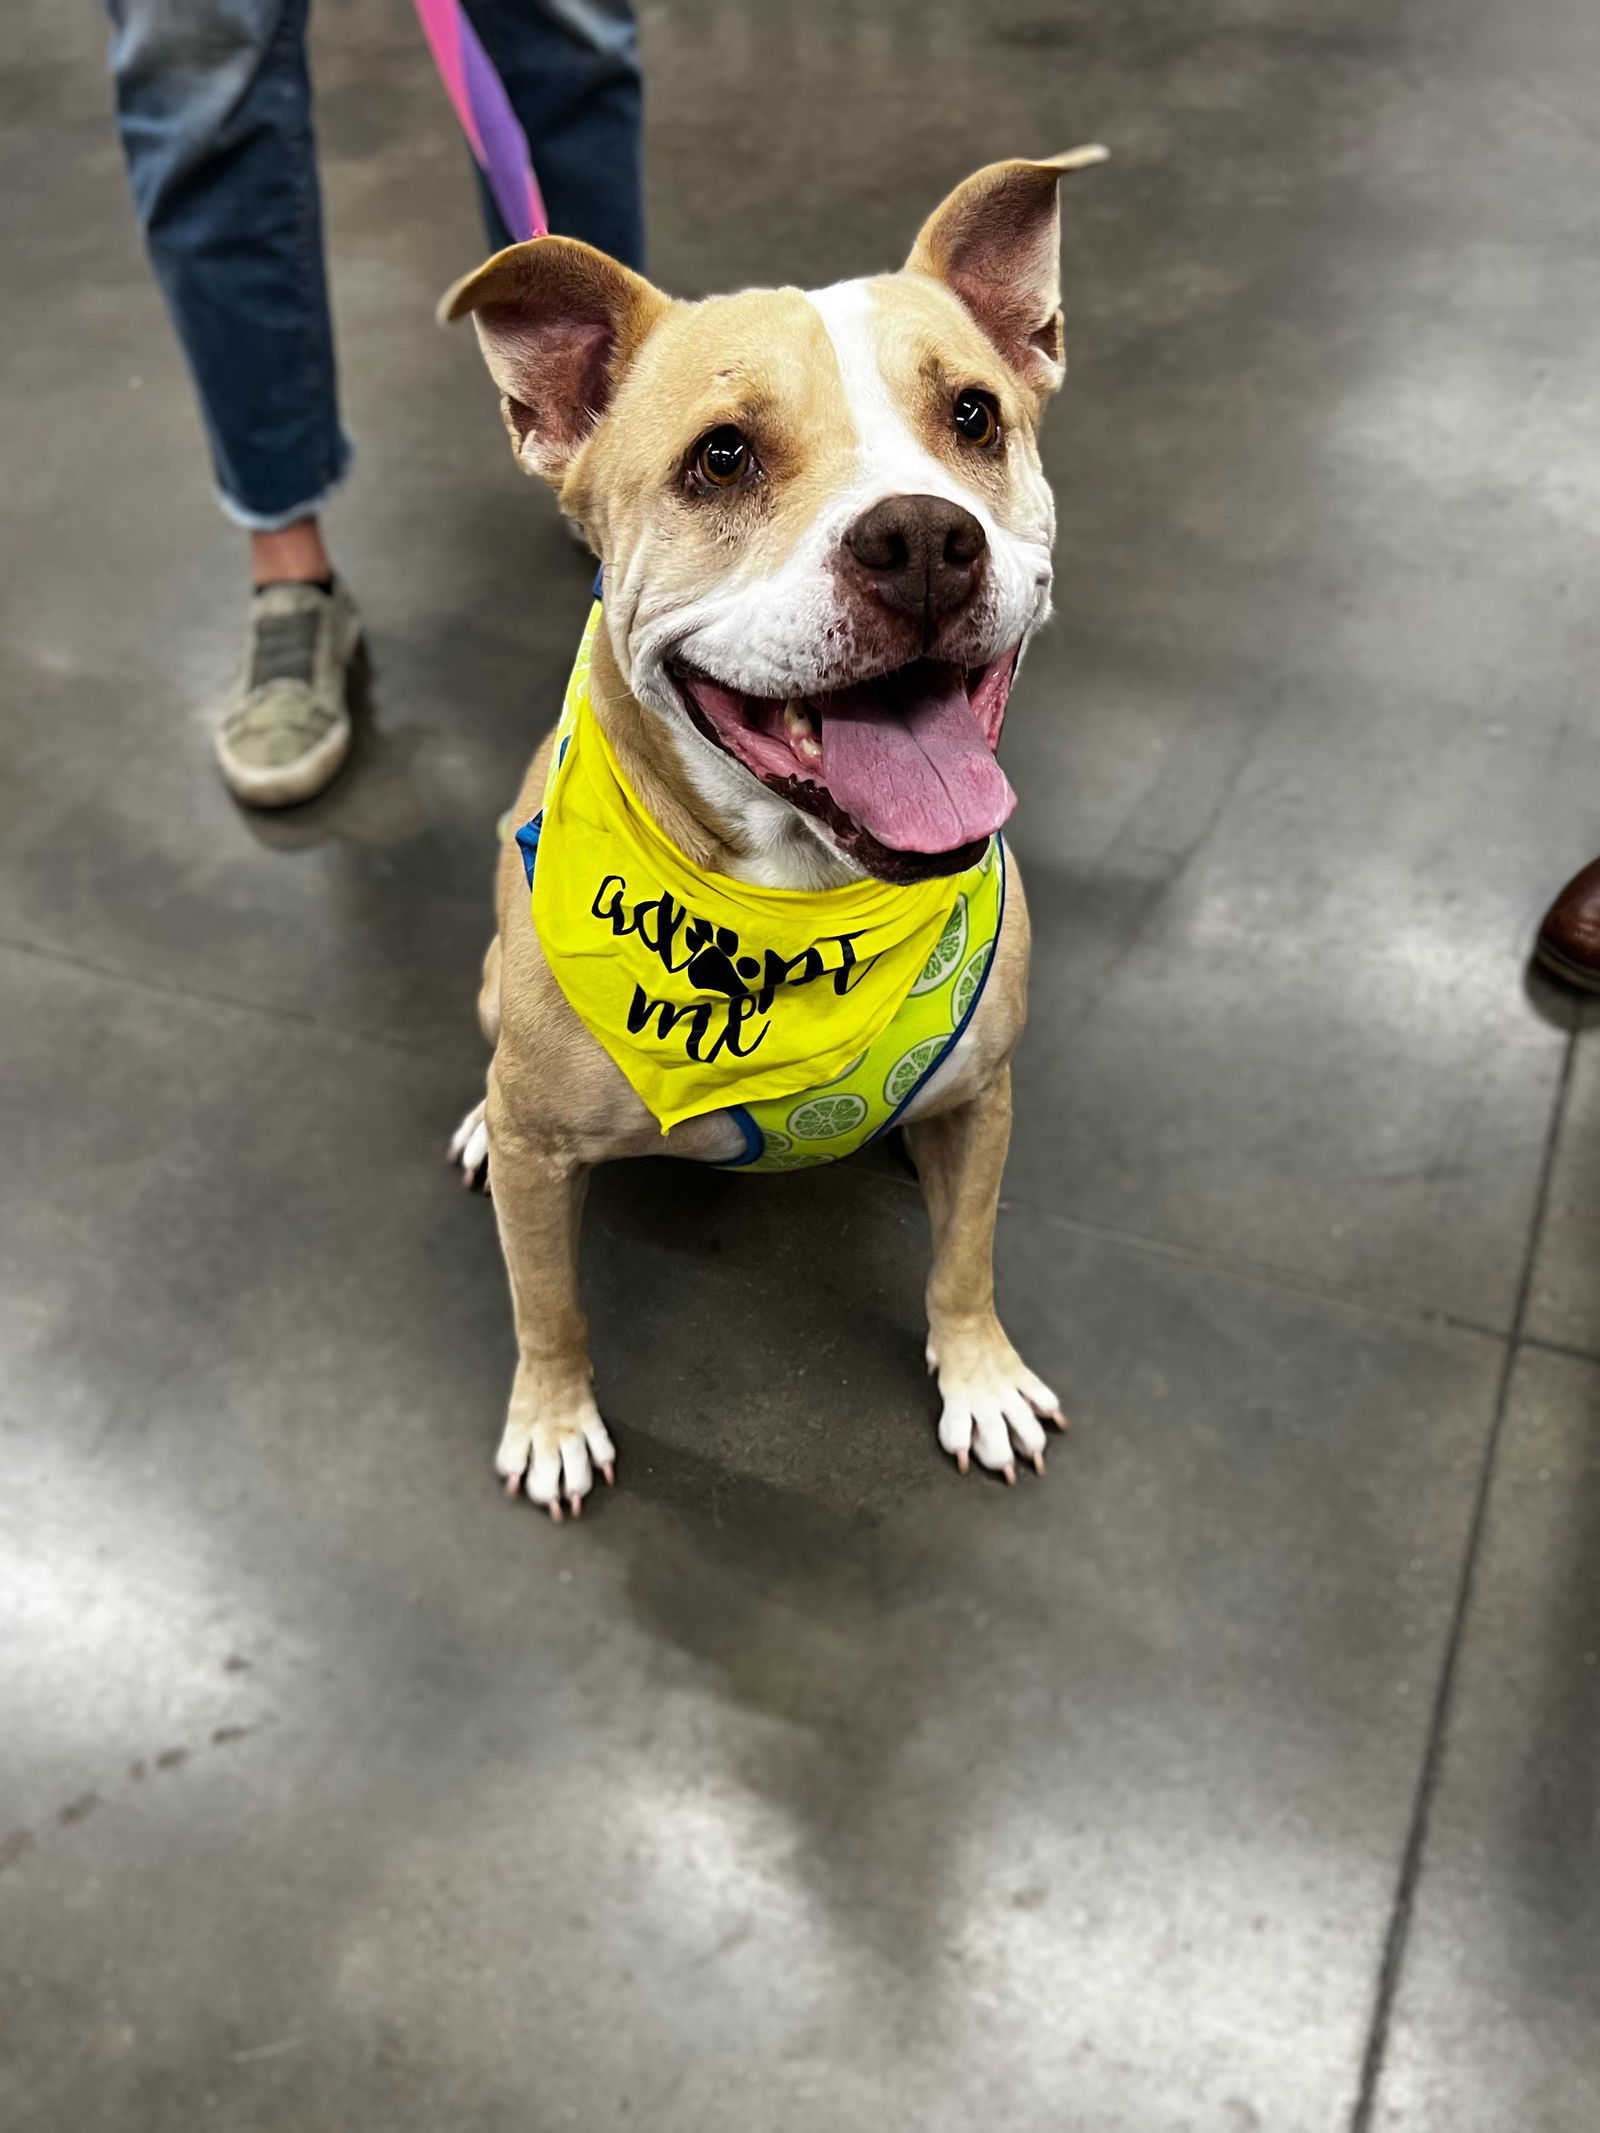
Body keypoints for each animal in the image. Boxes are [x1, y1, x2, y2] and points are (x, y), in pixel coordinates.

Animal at [445, 150, 1109, 1518]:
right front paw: (551, 1419)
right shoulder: (544, 1166)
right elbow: (547, 1305)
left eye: (974, 417)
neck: (795, 904)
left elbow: (964, 1259)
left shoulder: (988, 1102)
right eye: (721, 457)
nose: (923, 538)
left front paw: (979, 1376)